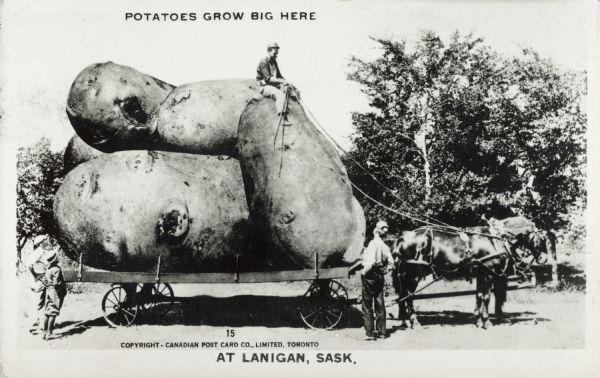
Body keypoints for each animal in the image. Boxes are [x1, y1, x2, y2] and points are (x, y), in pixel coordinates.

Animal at [392, 220, 548, 330]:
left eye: (544, 240)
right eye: (539, 240)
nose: (545, 259)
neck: (493, 240)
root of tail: (403, 237)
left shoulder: (481, 274)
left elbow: (478, 296)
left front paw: (478, 321)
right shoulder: (488, 274)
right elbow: (486, 297)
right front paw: (487, 322)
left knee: (403, 295)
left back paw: (406, 321)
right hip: (413, 273)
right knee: (409, 296)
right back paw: (415, 322)